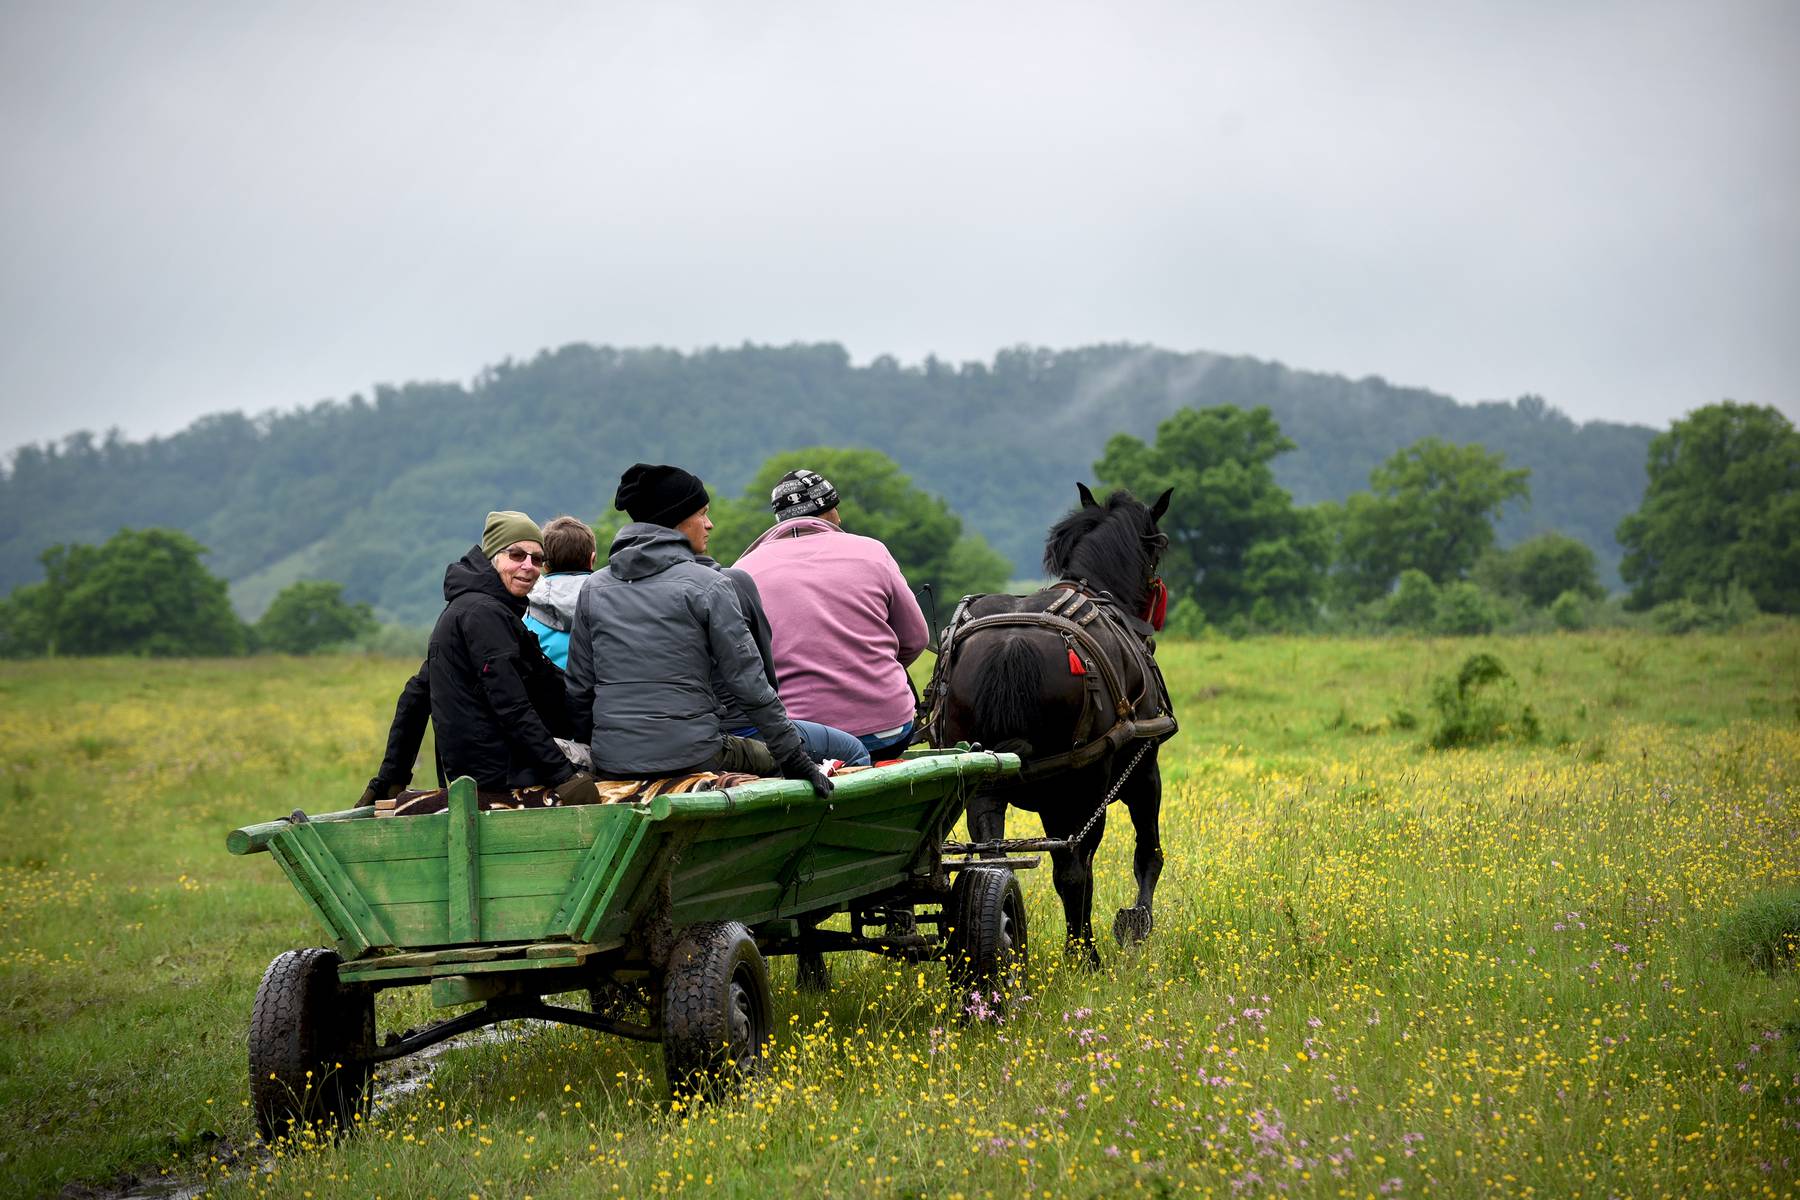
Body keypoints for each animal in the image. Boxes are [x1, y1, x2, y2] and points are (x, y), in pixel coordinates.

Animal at [936, 482, 1173, 971]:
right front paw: (1136, 922)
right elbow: (1147, 855)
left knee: (994, 862)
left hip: (984, 784)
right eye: (1157, 550)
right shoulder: (1143, 770)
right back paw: (1085, 954)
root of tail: (1011, 646)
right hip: (1081, 785)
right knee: (1073, 869)